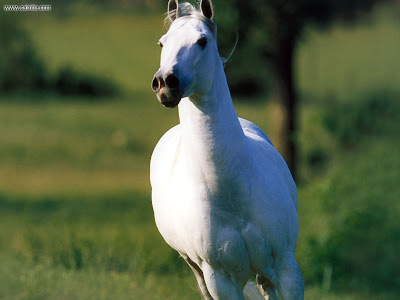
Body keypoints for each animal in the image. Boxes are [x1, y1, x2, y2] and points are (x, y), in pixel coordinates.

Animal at [150, 1, 304, 298]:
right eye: (162, 42)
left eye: (202, 41)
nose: (165, 83)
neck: (232, 196)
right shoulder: (219, 278)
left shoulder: (286, 267)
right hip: (196, 268)